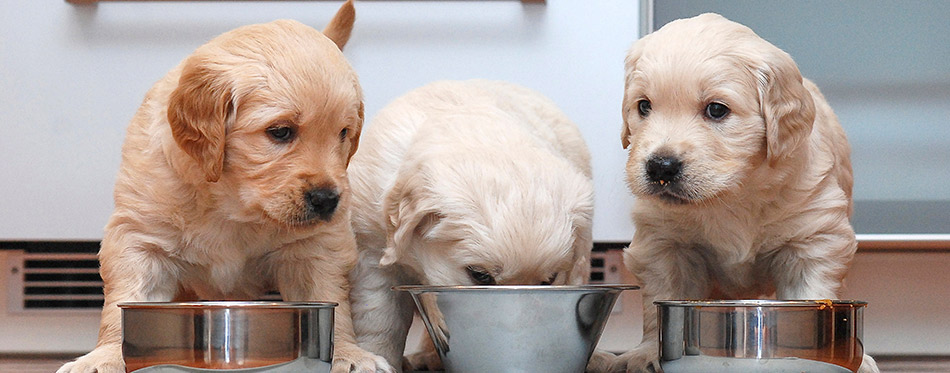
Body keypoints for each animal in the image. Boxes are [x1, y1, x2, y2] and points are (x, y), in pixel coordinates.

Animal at [57, 2, 392, 372]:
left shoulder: (315, 246)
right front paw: (105, 355)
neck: (231, 204)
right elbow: (126, 299)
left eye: (344, 133)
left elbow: (332, 299)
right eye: (280, 131)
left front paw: (348, 353)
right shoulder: (140, 237)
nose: (327, 200)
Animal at [612, 13, 880, 372]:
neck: (734, 194)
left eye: (716, 110)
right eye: (644, 106)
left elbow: (811, 291)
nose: (660, 168)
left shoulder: (813, 239)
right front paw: (645, 353)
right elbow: (658, 298)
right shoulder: (663, 243)